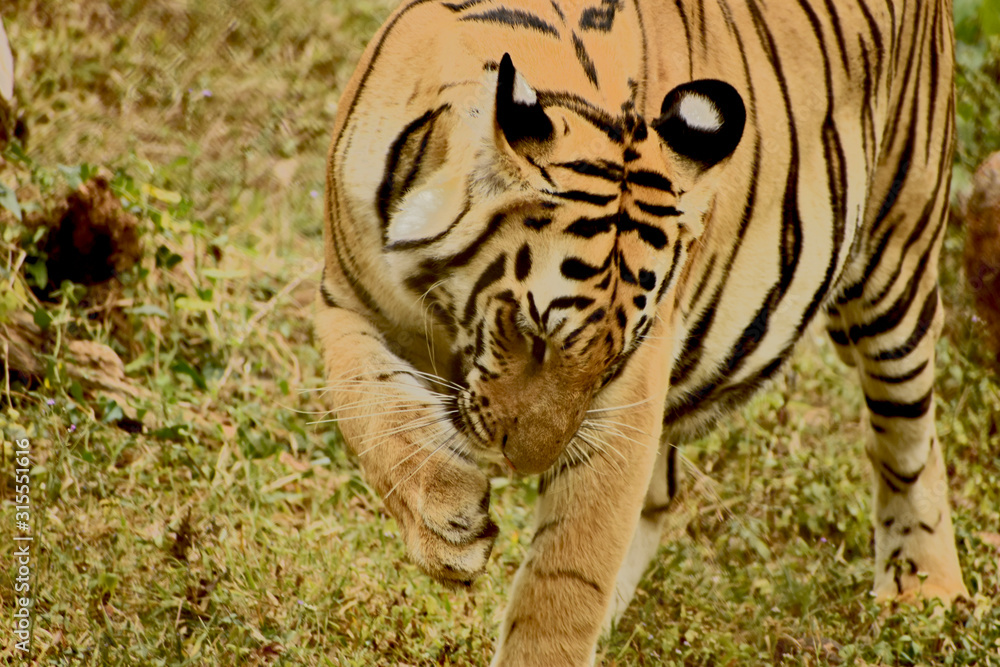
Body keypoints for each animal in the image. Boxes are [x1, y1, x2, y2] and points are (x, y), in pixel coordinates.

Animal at [313, 0, 968, 663]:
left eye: (608, 361)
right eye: (530, 331)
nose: (524, 464)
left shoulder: (630, 391)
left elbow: (568, 573)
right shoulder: (345, 298)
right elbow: (370, 409)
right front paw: (449, 522)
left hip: (896, 265)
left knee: (907, 437)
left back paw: (926, 590)